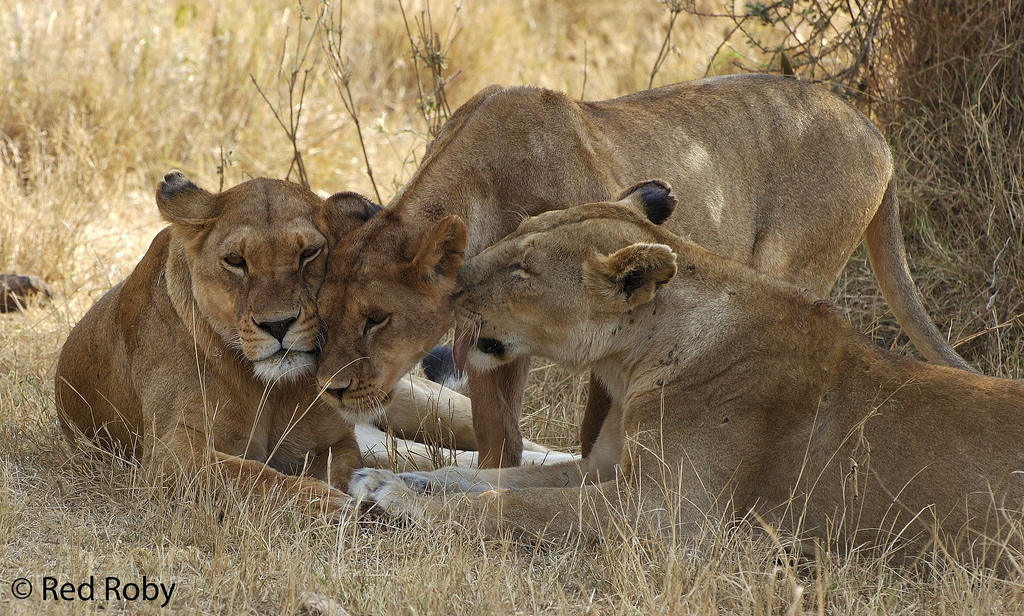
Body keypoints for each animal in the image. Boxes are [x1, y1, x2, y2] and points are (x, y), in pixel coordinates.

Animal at [55, 168, 544, 513]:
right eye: (235, 261)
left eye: (308, 253)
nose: (278, 325)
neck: (270, 390)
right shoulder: (170, 455)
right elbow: (256, 477)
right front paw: (333, 503)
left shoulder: (334, 441)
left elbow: (329, 468)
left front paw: (356, 497)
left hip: (410, 398)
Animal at [315, 74, 970, 468]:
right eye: (323, 314)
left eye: (377, 319)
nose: (332, 390)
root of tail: (872, 128)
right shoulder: (491, 343)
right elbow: (499, 438)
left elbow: (591, 429)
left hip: (794, 267)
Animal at [350, 180, 1024, 560]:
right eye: (516, 232)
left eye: (523, 270)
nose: (453, 284)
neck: (630, 363)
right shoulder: (605, 467)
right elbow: (485, 478)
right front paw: (389, 479)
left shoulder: (665, 516)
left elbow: (506, 505)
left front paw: (396, 498)